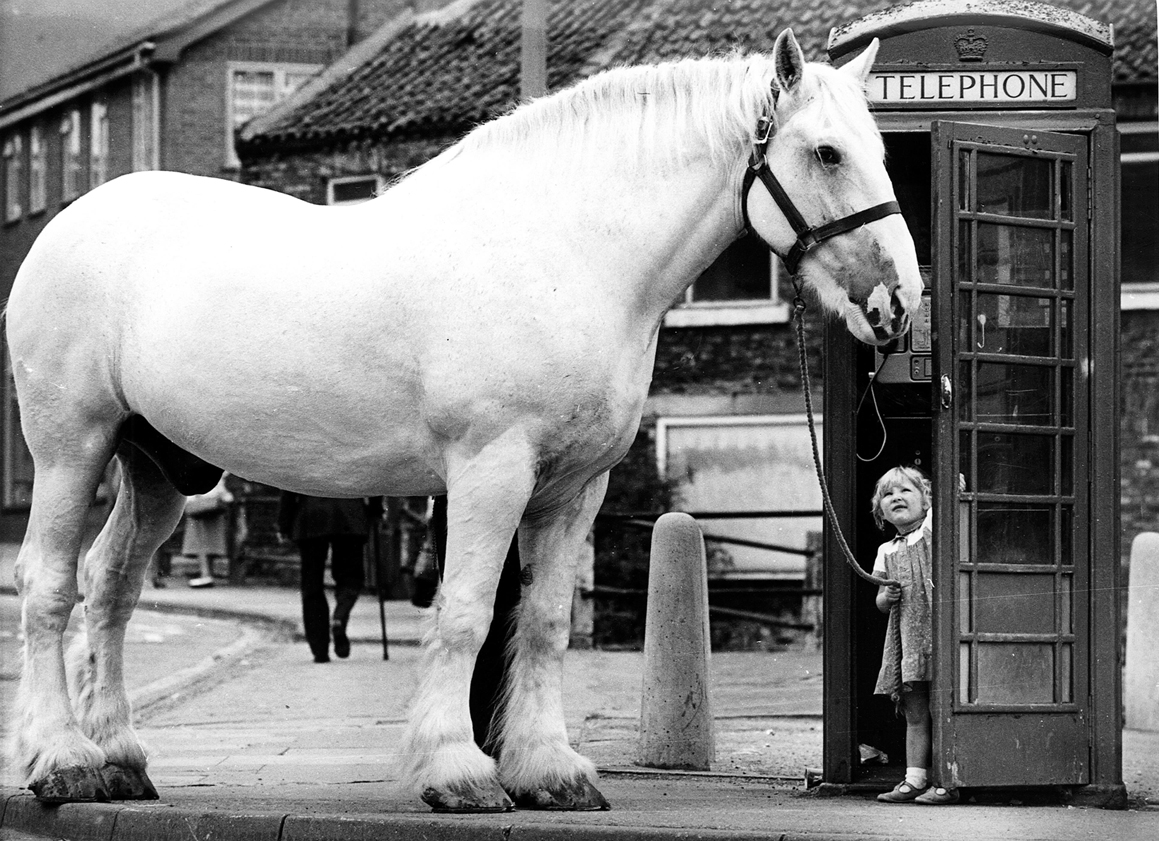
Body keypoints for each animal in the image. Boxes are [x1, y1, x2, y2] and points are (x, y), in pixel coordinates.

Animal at [4, 29, 917, 815]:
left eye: (880, 150)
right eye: (826, 152)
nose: (898, 302)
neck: (565, 250)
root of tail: (68, 225)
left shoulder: (577, 486)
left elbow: (542, 621)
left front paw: (547, 769)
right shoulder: (490, 469)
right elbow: (468, 612)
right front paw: (457, 769)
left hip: (156, 466)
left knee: (110, 585)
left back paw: (120, 755)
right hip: (72, 445)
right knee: (49, 583)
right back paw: (63, 759)